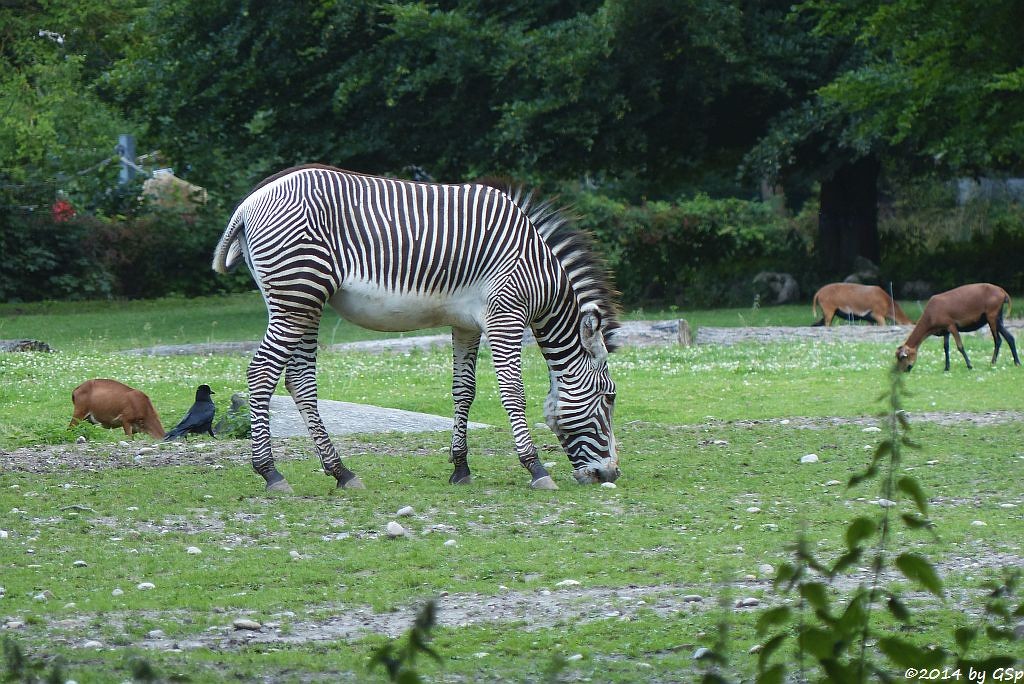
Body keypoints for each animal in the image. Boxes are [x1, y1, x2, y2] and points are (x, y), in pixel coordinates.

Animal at [211, 164, 618, 491]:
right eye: (610, 396)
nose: (611, 474)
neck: (539, 271)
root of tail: (248, 204)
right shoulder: (506, 315)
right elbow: (512, 392)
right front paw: (535, 468)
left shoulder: (466, 324)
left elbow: (464, 391)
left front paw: (461, 468)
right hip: (298, 294)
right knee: (262, 372)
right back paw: (271, 473)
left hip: (302, 303)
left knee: (299, 381)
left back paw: (342, 472)